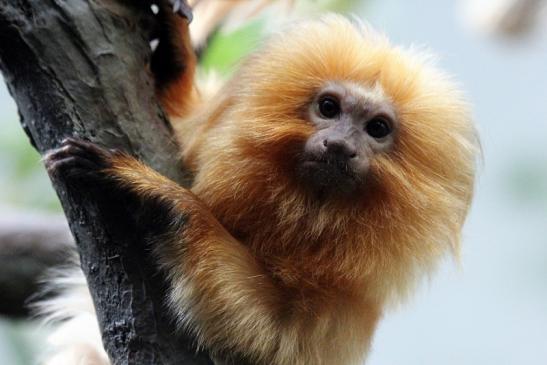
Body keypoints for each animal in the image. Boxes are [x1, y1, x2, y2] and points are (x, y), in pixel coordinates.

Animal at [41, 4, 480, 364]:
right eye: (328, 108)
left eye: (377, 129)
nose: (340, 146)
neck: (306, 208)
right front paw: (176, 58)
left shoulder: (342, 308)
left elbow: (271, 338)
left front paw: (161, 197)